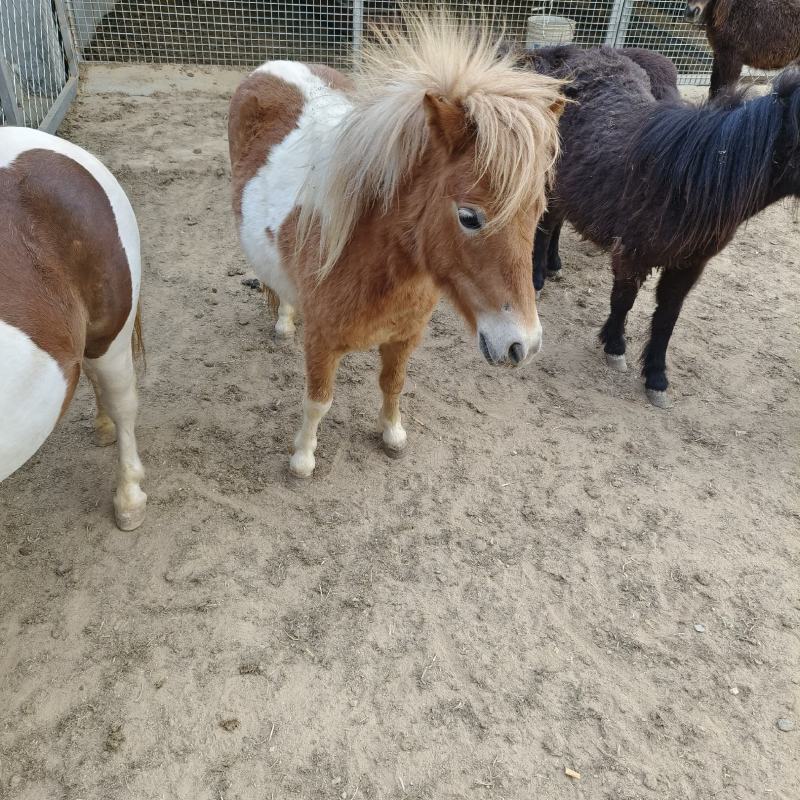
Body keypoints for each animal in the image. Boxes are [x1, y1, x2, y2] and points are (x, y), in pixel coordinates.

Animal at [228, 12, 564, 476]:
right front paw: (302, 458)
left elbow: (394, 384)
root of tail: (273, 65)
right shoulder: (322, 341)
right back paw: (282, 325)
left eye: (537, 212)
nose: (523, 346)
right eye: (469, 217)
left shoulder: (405, 337)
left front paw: (392, 435)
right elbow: (318, 402)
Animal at [520, 46, 800, 407]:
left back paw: (554, 265)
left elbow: (668, 316)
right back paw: (538, 277)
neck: (690, 180)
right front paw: (615, 347)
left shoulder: (690, 264)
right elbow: (622, 299)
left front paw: (656, 377)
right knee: (546, 225)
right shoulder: (631, 252)